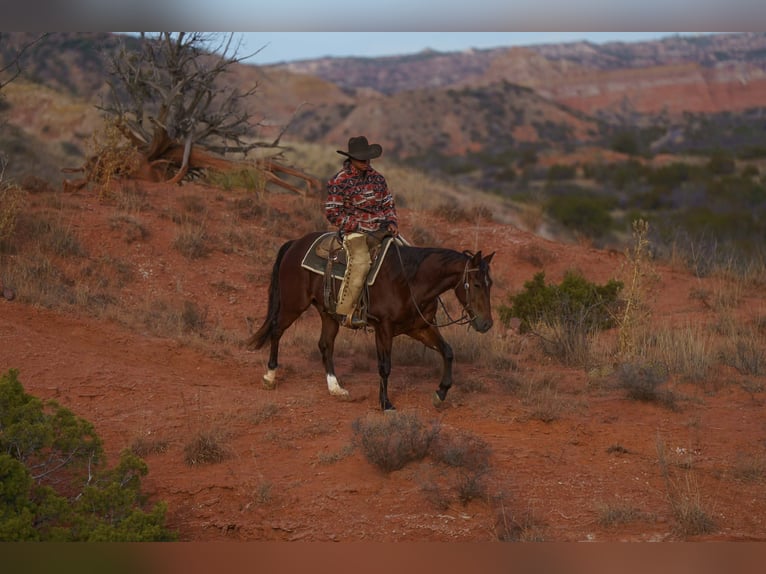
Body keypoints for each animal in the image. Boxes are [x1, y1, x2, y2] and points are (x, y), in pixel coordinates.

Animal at [246, 231, 495, 411]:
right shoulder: (383, 328)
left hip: (328, 313)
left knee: (325, 345)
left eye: (490, 283)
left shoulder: (420, 327)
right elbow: (385, 366)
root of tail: (295, 244)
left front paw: (440, 394)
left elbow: (448, 352)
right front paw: (385, 403)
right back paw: (270, 377)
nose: (486, 324)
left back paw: (336, 389)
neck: (410, 281)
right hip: (293, 304)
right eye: (476, 284)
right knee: (277, 330)